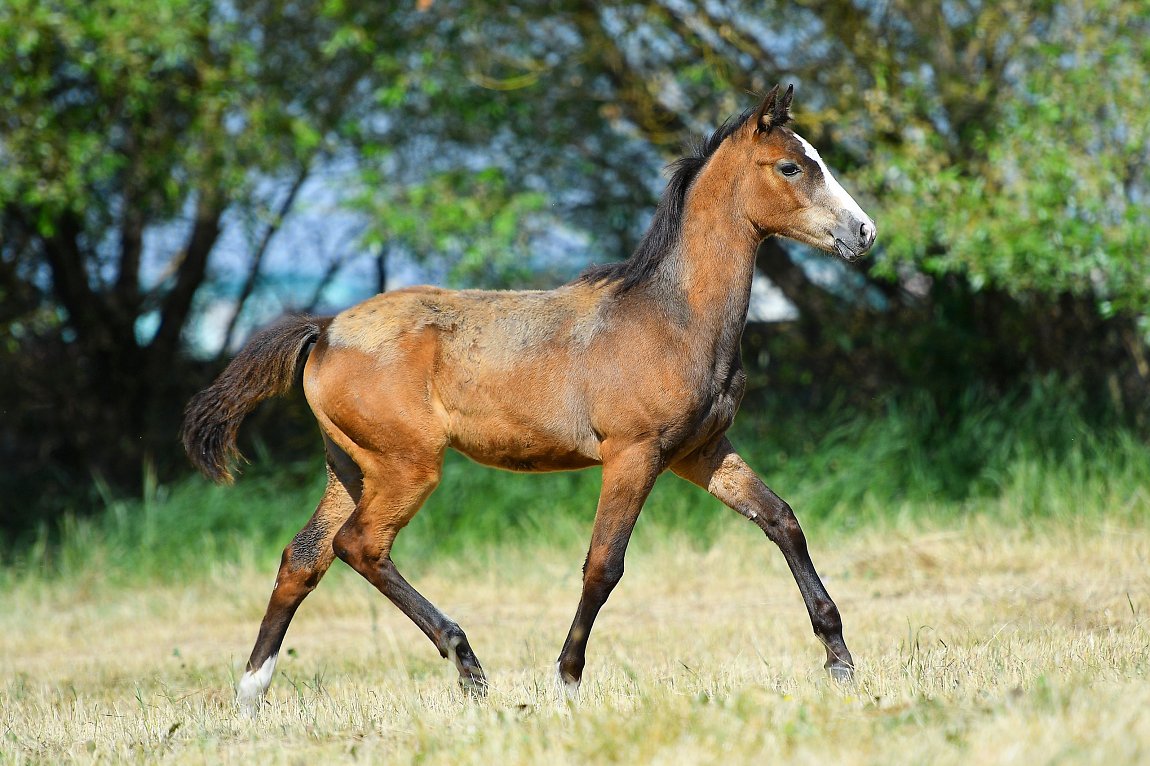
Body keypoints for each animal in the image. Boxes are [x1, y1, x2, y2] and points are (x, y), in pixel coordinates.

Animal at [184, 86, 874, 713]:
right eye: (791, 167)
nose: (863, 232)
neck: (672, 318)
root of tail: (325, 329)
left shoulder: (699, 452)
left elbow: (782, 519)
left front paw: (840, 661)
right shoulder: (634, 455)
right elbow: (604, 565)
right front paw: (565, 680)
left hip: (351, 467)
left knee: (304, 557)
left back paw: (251, 694)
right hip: (406, 466)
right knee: (360, 546)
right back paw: (467, 666)